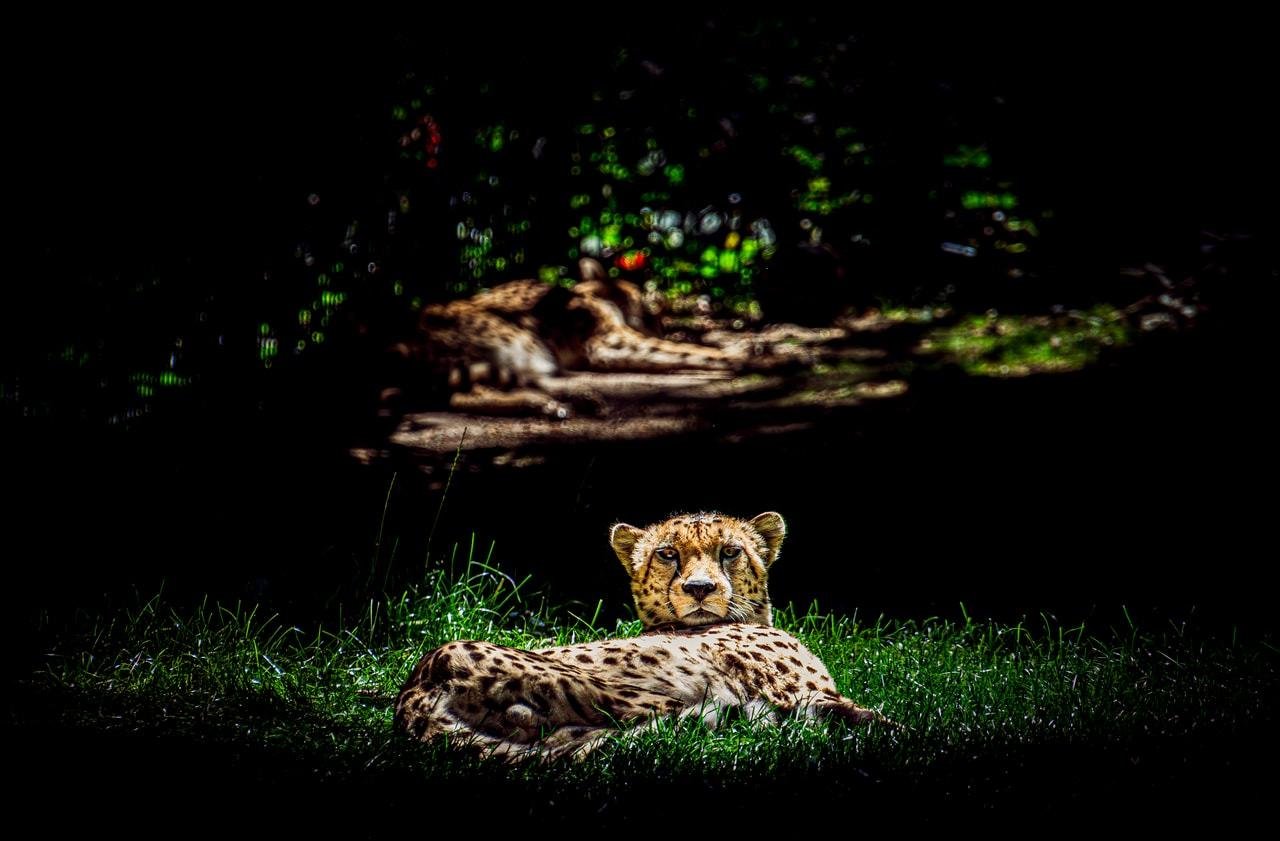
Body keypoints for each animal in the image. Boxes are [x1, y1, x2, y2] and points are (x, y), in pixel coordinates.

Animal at [394, 511, 881, 760]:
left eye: (730, 551)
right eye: (667, 554)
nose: (699, 588)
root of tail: (418, 686)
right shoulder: (807, 694)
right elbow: (880, 719)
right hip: (648, 699)